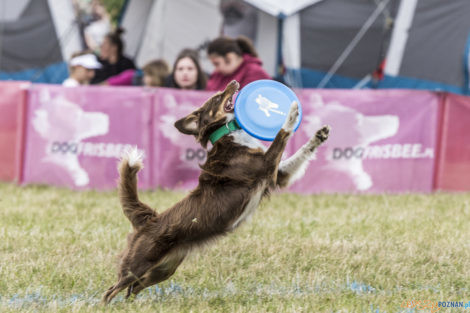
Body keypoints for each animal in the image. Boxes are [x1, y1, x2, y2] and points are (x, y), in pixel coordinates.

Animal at [103, 80, 330, 302]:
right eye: (217, 97)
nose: (234, 81)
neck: (229, 133)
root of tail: (149, 219)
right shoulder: (268, 166)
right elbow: (282, 133)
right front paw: (291, 112)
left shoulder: (279, 174)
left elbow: (302, 151)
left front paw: (319, 135)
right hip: (138, 264)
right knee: (112, 290)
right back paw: (108, 306)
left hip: (163, 269)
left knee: (132, 289)